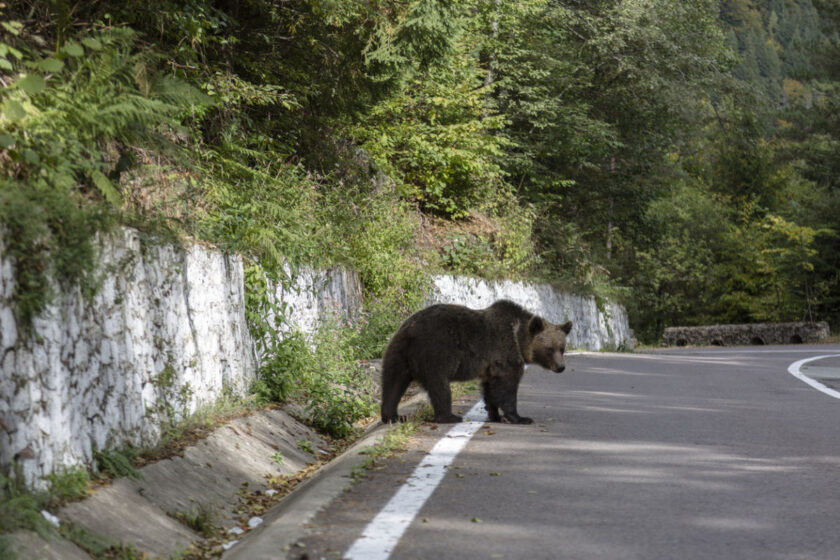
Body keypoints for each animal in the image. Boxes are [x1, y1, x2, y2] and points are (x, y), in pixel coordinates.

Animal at [380, 302, 572, 424]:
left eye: (562, 348)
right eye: (550, 349)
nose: (561, 367)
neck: (519, 338)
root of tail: (410, 330)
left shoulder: (490, 367)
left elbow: (490, 388)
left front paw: (494, 414)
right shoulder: (505, 352)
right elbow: (507, 387)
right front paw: (520, 418)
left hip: (397, 351)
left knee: (393, 382)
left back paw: (393, 416)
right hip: (435, 351)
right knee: (439, 385)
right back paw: (449, 416)